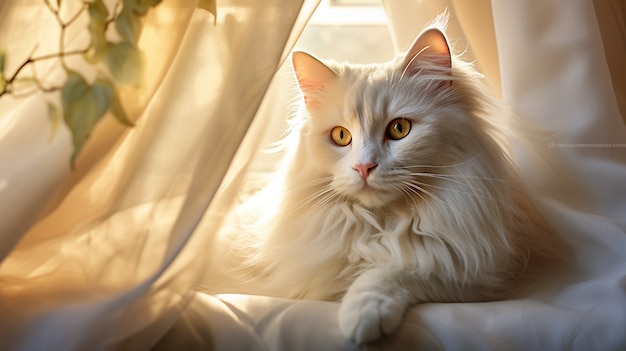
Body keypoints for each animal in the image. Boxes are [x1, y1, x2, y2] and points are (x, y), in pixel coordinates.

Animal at [207, 21, 560, 344]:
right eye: (341, 136)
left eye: (400, 129)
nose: (364, 167)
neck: (381, 227)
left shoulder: (470, 270)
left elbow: (397, 272)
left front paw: (364, 316)